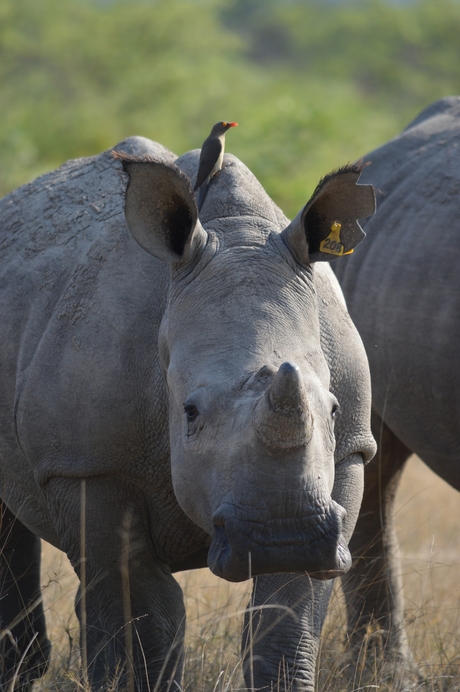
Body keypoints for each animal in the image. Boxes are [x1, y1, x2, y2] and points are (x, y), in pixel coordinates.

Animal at [0, 137, 376, 692]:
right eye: (190, 413)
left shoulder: (348, 454)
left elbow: (286, 622)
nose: (284, 537)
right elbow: (147, 620)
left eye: (331, 410)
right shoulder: (88, 466)